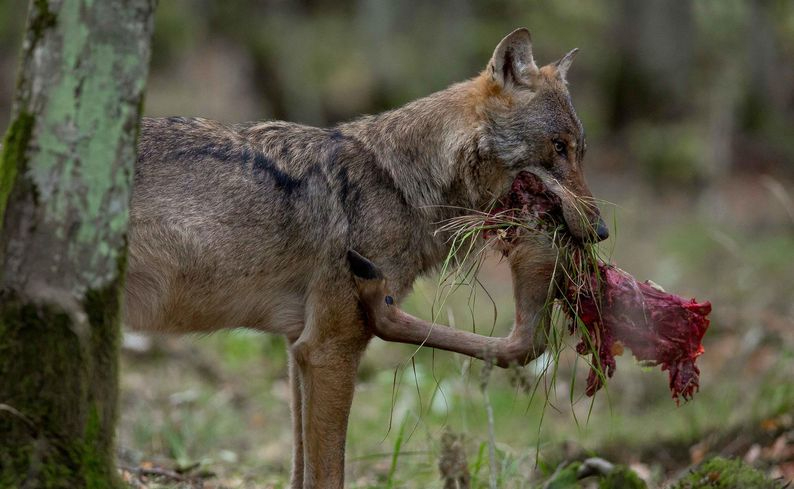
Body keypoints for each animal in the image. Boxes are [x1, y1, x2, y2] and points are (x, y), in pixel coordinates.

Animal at [126, 28, 608, 488]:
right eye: (558, 147)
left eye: (581, 151)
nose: (602, 231)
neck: (402, 186)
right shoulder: (328, 348)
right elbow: (327, 476)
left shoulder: (298, 346)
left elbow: (301, 471)